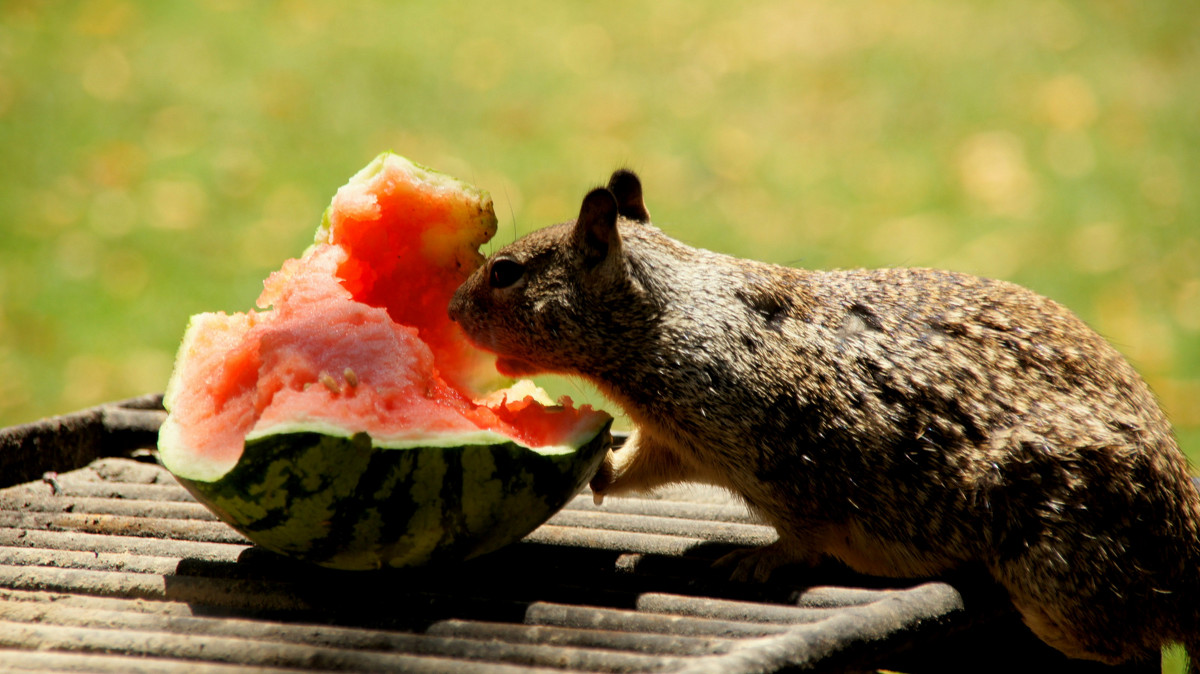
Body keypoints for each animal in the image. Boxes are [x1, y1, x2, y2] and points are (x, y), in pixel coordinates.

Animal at [451, 170, 1200, 662]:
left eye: (507, 272)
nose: (454, 310)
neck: (673, 317)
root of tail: (1183, 553)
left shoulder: (790, 455)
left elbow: (803, 534)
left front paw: (754, 560)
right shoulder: (677, 440)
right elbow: (639, 464)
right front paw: (600, 467)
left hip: (1059, 576)